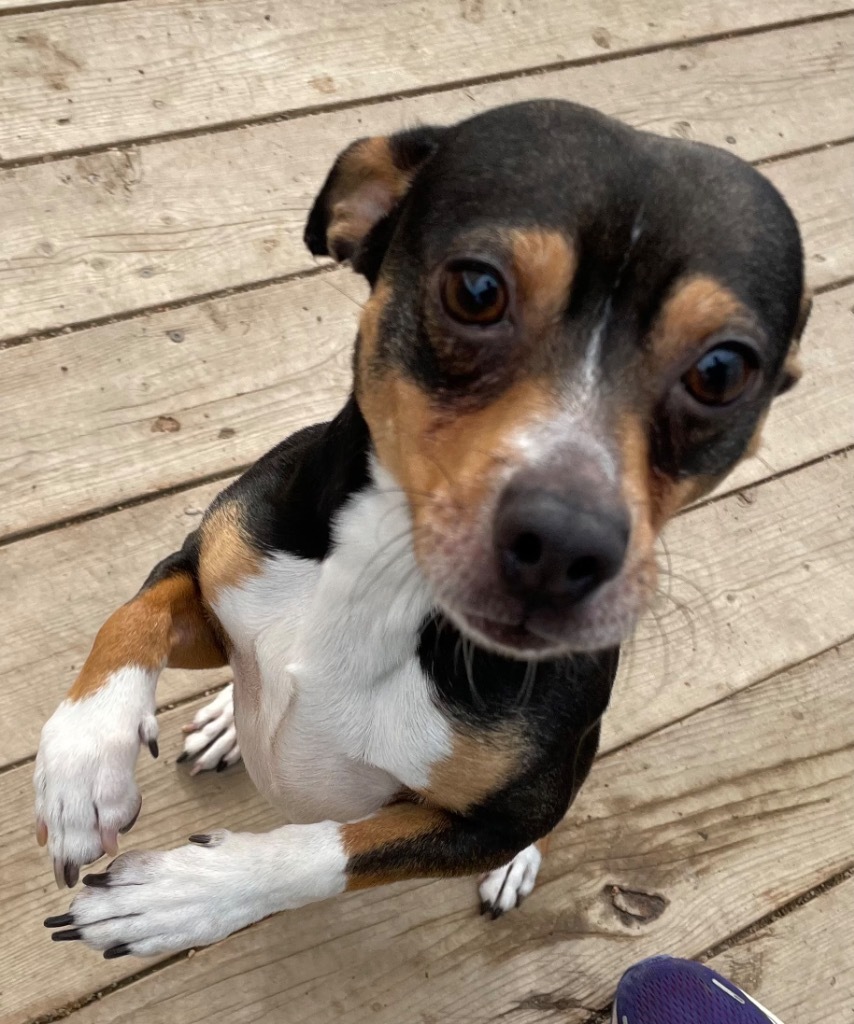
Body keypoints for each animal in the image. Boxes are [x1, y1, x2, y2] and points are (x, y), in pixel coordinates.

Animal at [34, 99, 806, 954]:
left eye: (722, 371)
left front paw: (186, 896)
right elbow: (131, 616)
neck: (386, 577)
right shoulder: (218, 572)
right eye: (476, 289)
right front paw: (81, 764)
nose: (562, 544)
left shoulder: (486, 821)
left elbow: (326, 853)